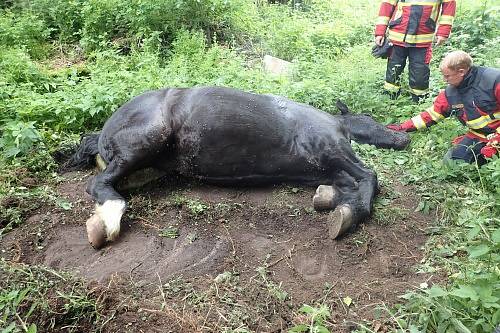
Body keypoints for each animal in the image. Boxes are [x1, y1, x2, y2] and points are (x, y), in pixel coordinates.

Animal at [65, 85, 410, 246]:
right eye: (372, 120)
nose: (404, 138)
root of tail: (103, 132)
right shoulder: (334, 152)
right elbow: (370, 178)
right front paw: (347, 215)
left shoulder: (329, 168)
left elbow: (347, 186)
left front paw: (330, 199)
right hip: (148, 140)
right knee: (100, 185)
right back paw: (107, 222)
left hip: (149, 166)